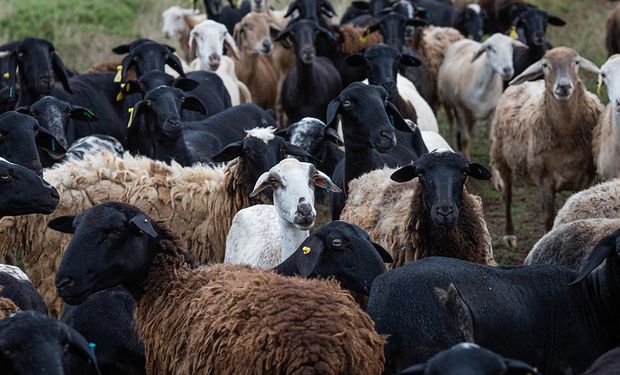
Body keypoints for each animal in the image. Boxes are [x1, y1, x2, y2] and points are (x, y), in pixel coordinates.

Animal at [0, 132, 310, 318]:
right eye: (248, 152)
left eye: (282, 148)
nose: (268, 177)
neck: (218, 197)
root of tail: (54, 179)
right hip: (52, 264)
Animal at [492, 47, 604, 247]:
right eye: (545, 65)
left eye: (576, 62)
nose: (564, 87)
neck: (567, 139)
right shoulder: (545, 179)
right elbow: (548, 218)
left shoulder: (586, 178)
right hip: (501, 158)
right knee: (508, 196)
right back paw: (509, 235)